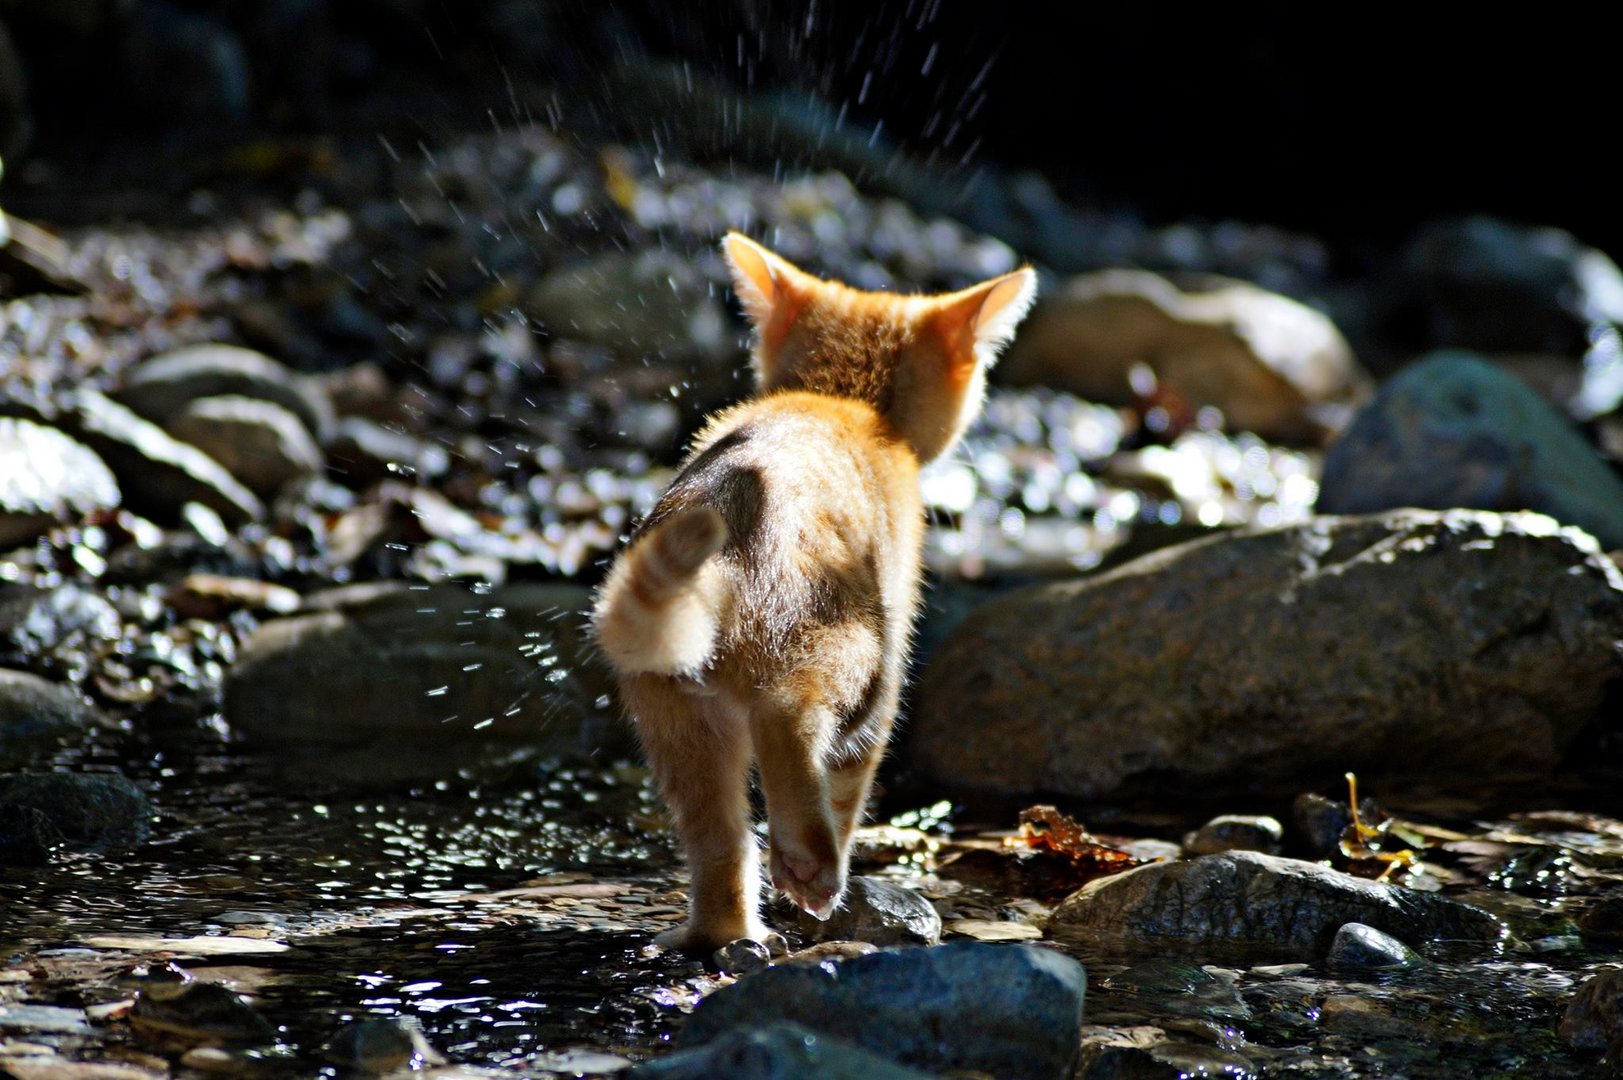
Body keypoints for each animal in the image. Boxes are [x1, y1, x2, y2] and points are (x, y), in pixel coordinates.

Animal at [597, 232, 1038, 948]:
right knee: (789, 719)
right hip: (853, 649)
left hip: (670, 707)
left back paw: (725, 932)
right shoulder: (888, 663)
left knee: (718, 838)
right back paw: (811, 865)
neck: (842, 400)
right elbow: (851, 783)